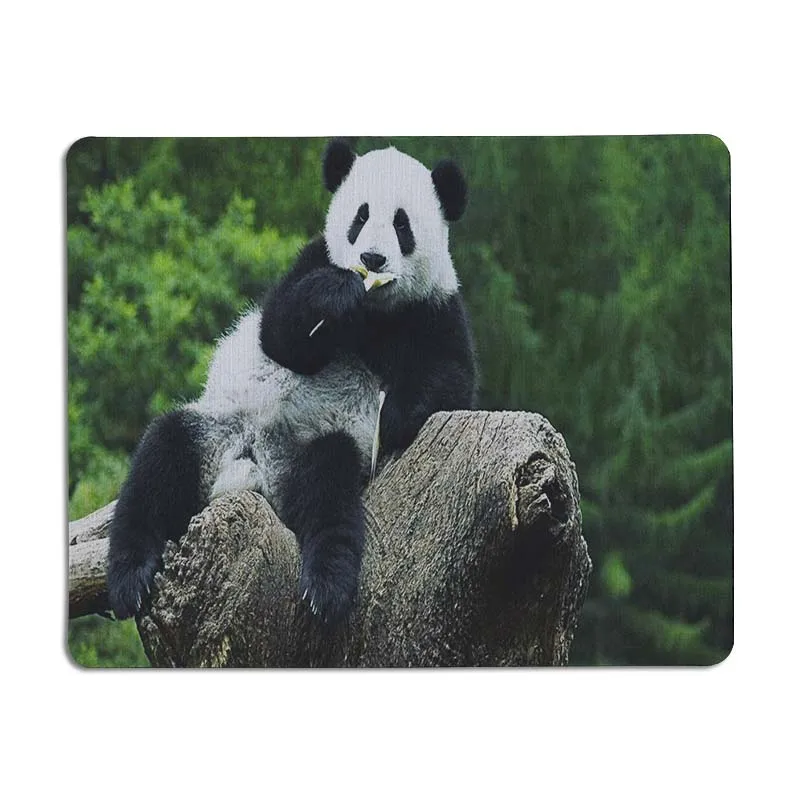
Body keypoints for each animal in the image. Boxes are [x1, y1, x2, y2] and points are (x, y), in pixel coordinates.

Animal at [107, 139, 477, 625]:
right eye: (360, 217)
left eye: (402, 224)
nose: (371, 259)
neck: (375, 310)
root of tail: (251, 469)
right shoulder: (311, 261)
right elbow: (280, 333)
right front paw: (335, 297)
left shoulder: (434, 309)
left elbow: (452, 382)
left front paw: (393, 415)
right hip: (217, 428)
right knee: (161, 458)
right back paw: (130, 578)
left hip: (315, 445)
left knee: (328, 491)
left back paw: (326, 587)